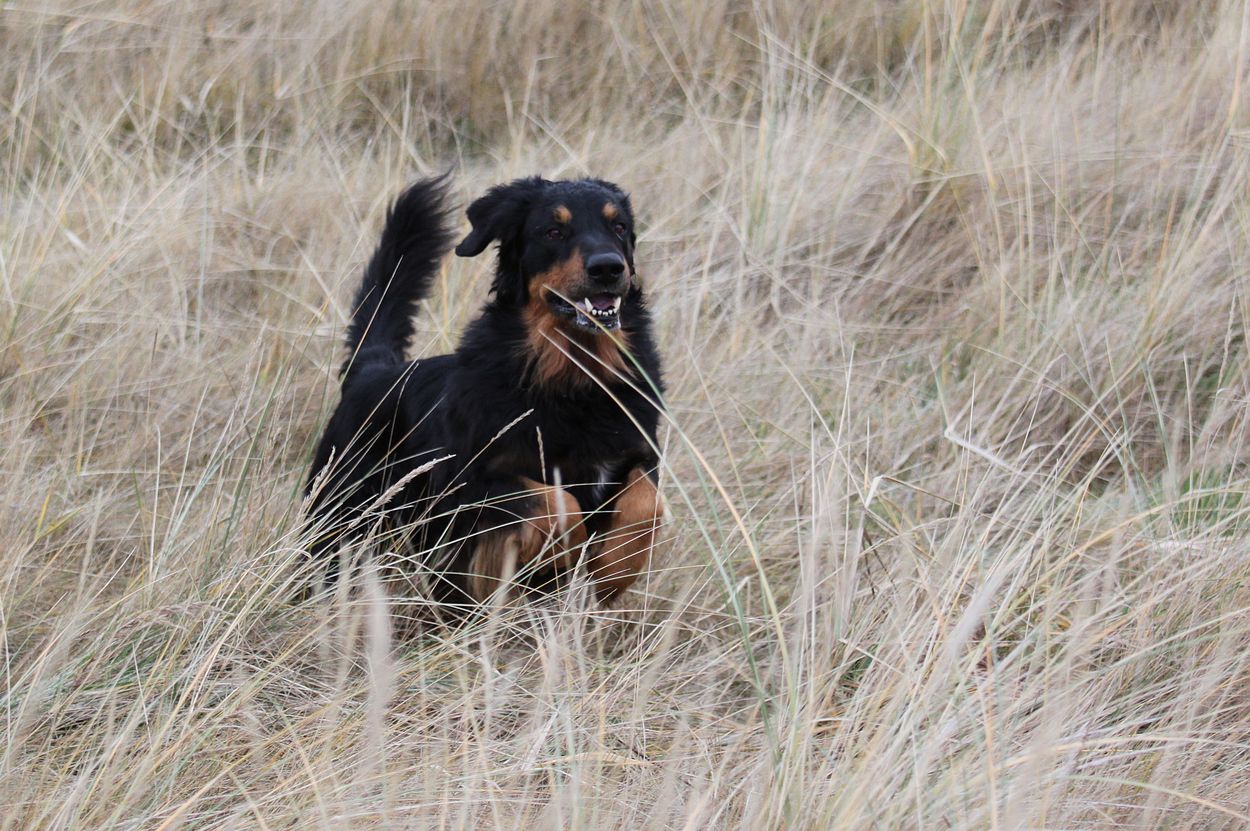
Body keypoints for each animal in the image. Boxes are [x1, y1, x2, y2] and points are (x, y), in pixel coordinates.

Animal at [304, 175, 666, 608]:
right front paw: (556, 560)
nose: (609, 267)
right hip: (338, 512)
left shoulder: (637, 455)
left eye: (619, 227)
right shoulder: (466, 481)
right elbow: (555, 502)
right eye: (553, 231)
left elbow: (646, 503)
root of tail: (373, 368)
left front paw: (615, 571)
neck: (571, 379)